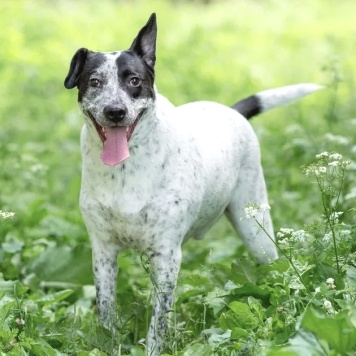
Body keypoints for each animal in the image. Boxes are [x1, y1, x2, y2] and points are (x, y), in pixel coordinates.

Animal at [64, 12, 322, 354]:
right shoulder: (103, 250)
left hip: (256, 231)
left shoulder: (166, 254)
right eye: (94, 81)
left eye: (134, 80)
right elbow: (106, 309)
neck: (125, 169)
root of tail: (232, 111)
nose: (115, 111)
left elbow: (158, 322)